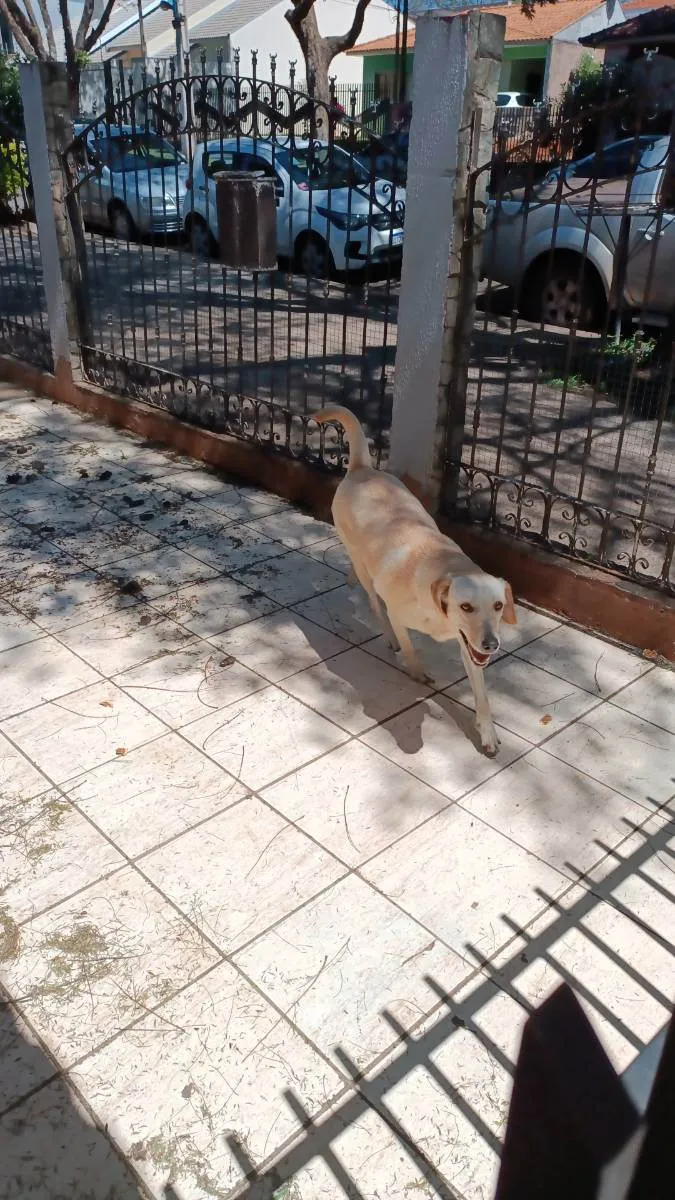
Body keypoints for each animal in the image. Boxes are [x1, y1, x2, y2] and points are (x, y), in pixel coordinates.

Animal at [314, 408, 514, 753]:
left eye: (499, 606)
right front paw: (417, 673)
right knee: (374, 601)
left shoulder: (468, 646)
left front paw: (487, 732)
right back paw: (386, 632)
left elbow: (482, 696)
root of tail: (362, 468)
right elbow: (410, 647)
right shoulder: (401, 615)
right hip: (364, 565)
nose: (492, 644)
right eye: (466, 606)